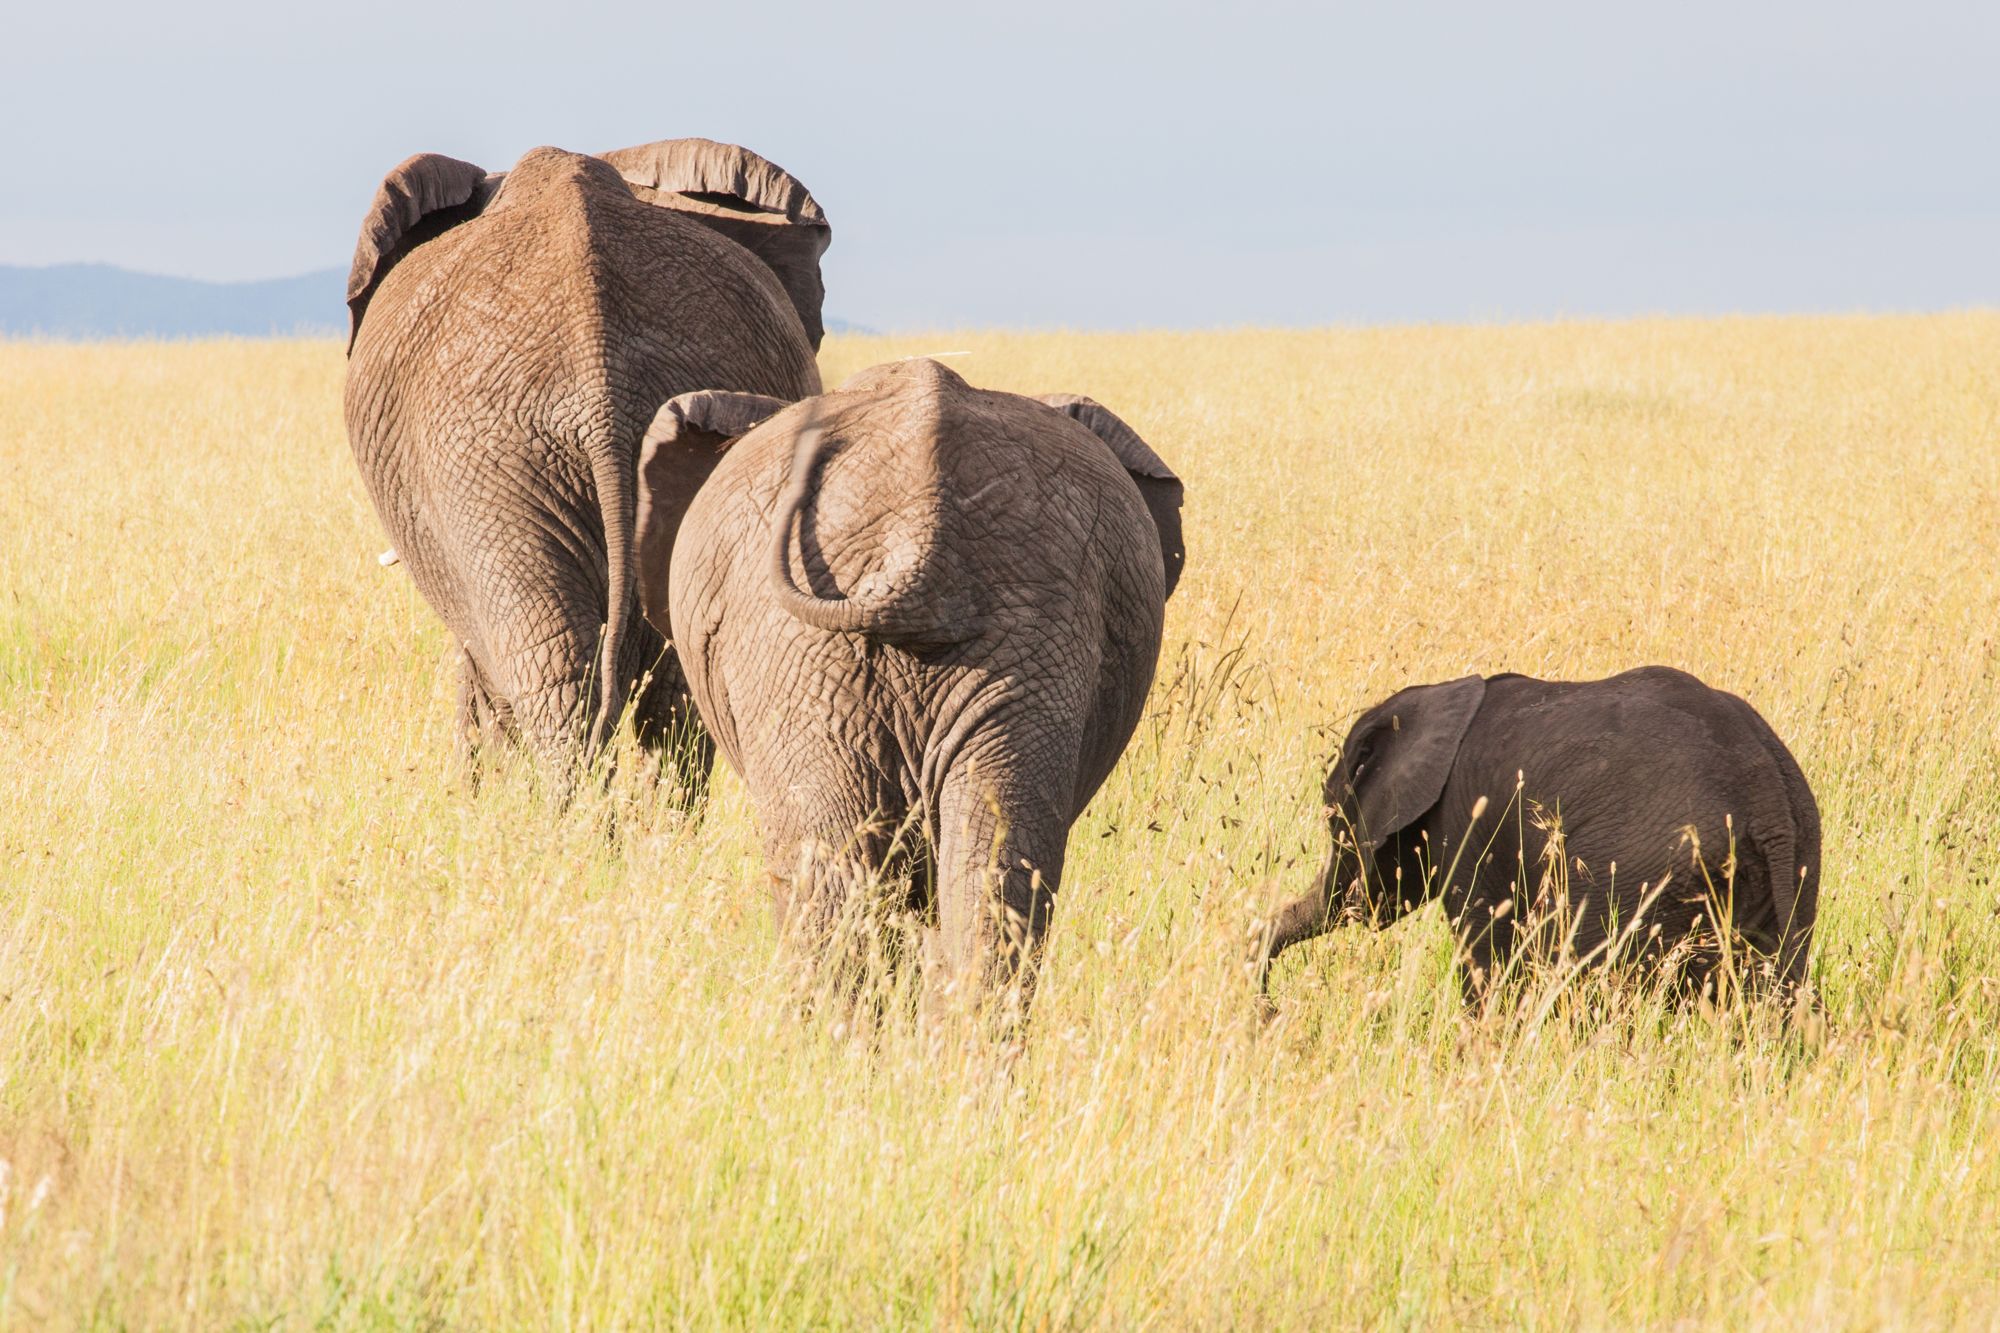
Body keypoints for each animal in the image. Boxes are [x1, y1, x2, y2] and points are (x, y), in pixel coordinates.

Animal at [1256, 668, 1824, 1000]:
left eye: (1335, 821)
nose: (1266, 1012)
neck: (1438, 696)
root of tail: (1767, 799)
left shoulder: (1467, 823)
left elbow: (1486, 950)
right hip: (1797, 866)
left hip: (1637, 876)